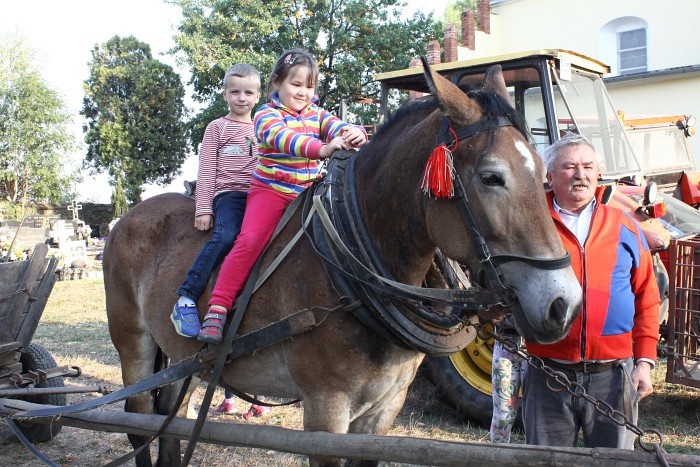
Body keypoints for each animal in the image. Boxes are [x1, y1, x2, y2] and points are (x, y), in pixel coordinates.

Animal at [104, 62, 584, 467]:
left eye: (543, 170)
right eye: (491, 176)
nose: (564, 304)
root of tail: (128, 217)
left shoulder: (382, 411)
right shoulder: (325, 409)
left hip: (181, 356)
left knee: (169, 417)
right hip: (132, 339)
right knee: (137, 417)